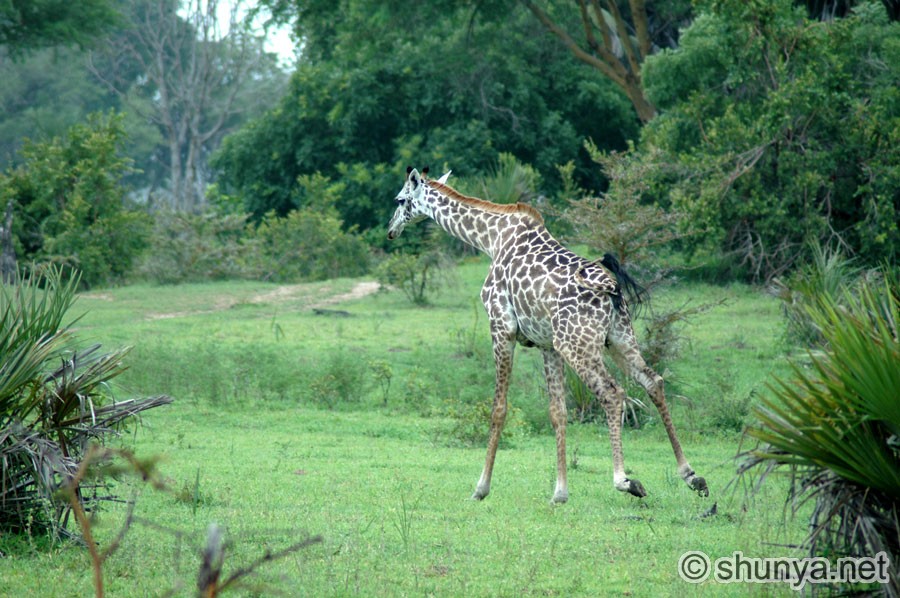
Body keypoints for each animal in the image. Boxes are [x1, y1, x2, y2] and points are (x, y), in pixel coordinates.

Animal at [384, 166, 708, 504]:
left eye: (399, 199)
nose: (391, 229)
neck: (491, 238)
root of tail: (610, 289)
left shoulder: (501, 327)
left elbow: (499, 408)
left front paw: (481, 488)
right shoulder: (546, 344)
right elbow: (558, 412)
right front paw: (560, 493)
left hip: (577, 344)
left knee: (612, 392)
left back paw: (625, 480)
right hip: (618, 337)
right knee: (652, 381)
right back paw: (691, 475)